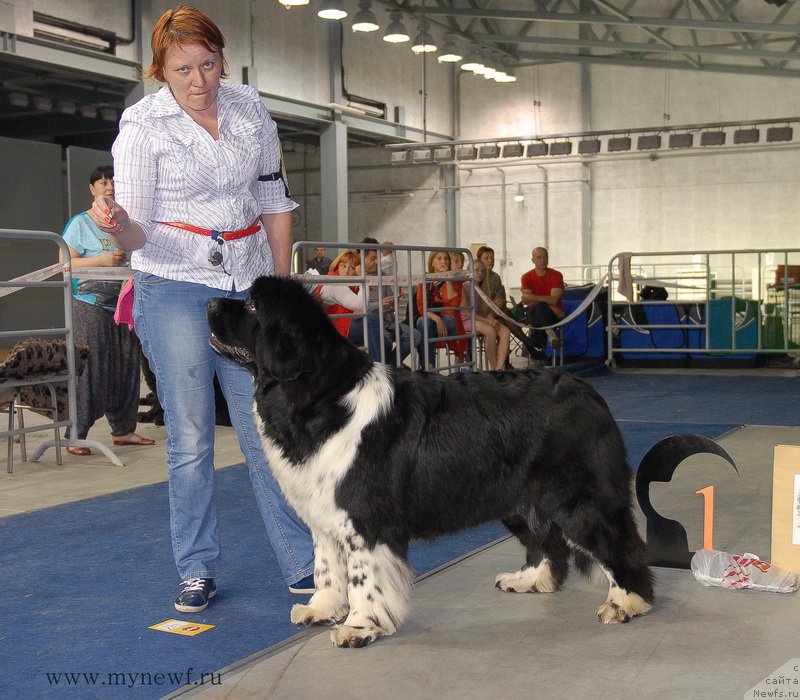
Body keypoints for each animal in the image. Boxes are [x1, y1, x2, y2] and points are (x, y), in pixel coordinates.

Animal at [208, 276, 656, 648]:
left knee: (618, 544)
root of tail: (590, 394)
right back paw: (529, 579)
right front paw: (321, 609)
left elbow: (362, 577)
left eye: (251, 305)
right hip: (520, 498)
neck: (318, 396)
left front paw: (358, 626)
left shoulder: (363, 520)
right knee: (545, 543)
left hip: (576, 498)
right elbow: (326, 568)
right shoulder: (324, 516)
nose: (210, 301)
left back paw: (626, 602)